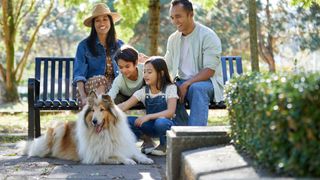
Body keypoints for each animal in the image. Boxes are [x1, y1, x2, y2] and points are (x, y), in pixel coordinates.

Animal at [19, 92, 154, 165]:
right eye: (93, 110)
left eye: (102, 110)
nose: (94, 121)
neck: (106, 132)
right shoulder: (97, 155)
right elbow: (118, 156)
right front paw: (128, 160)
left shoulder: (123, 145)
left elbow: (135, 153)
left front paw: (145, 159)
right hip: (59, 128)